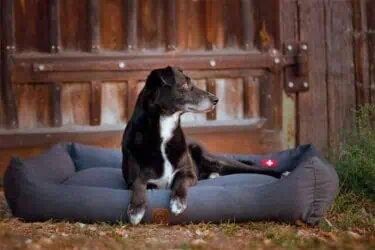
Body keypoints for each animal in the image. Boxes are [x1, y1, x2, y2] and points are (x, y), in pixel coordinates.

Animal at [122, 66, 280, 225]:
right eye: (185, 84)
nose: (216, 99)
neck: (165, 128)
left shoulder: (188, 174)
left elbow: (180, 182)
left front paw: (177, 202)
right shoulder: (131, 181)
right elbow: (138, 183)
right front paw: (136, 209)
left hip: (215, 159)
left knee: (251, 169)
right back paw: (213, 175)